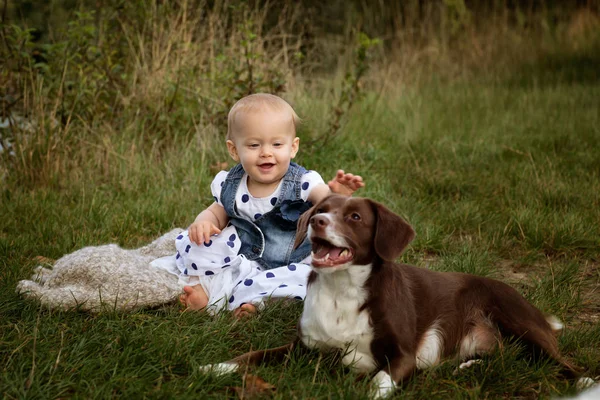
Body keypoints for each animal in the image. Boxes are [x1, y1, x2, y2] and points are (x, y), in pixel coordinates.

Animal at [200, 194, 580, 396]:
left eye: (354, 216)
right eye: (321, 209)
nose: (318, 221)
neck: (342, 290)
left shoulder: (404, 357)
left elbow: (379, 381)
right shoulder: (302, 348)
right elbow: (253, 355)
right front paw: (216, 366)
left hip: (518, 319)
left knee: (558, 361)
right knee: (503, 357)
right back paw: (470, 365)